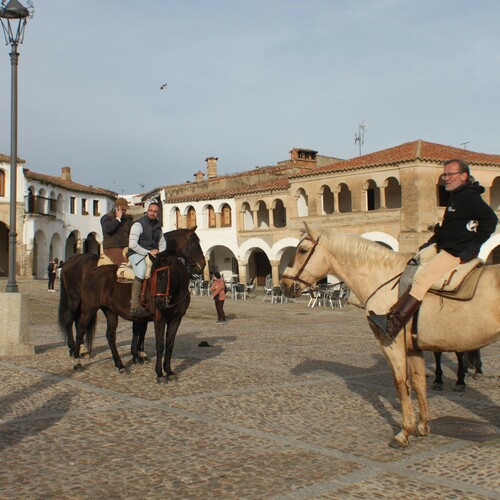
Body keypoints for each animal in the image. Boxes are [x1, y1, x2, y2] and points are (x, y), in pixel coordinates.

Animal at [59, 229, 205, 366]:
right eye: (195, 243)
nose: (202, 265)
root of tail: (69, 261)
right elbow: (140, 330)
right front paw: (137, 355)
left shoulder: (144, 313)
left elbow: (139, 330)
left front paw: (138, 354)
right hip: (76, 300)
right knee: (70, 319)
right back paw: (73, 350)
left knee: (81, 322)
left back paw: (85, 351)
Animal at [282, 225, 500, 448]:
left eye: (302, 250)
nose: (283, 284)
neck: (383, 280)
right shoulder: (413, 347)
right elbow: (419, 383)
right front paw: (423, 426)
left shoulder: (391, 344)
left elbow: (401, 383)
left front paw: (404, 432)